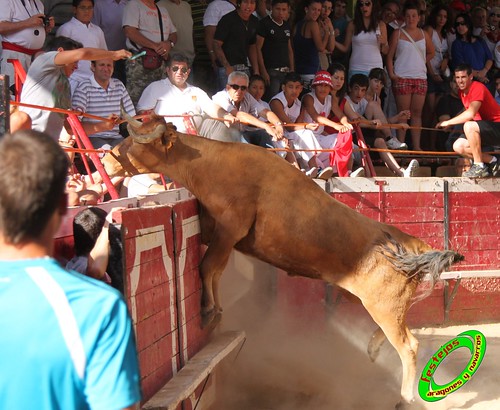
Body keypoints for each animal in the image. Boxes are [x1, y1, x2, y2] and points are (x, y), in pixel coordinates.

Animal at [101, 113, 464, 408]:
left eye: (133, 140)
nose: (106, 162)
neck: (211, 163)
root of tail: (411, 244)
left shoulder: (230, 229)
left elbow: (208, 267)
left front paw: (207, 310)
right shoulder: (221, 235)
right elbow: (215, 270)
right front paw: (215, 309)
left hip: (383, 306)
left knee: (409, 345)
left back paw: (405, 399)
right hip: (373, 301)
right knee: (403, 327)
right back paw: (375, 351)